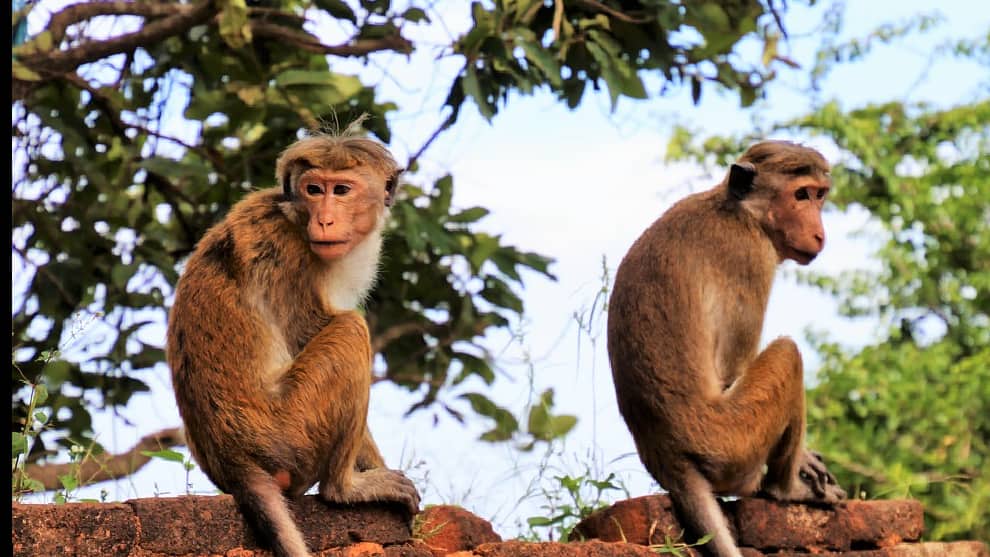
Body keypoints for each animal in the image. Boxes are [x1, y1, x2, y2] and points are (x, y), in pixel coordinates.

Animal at [166, 128, 420, 557]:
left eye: (341, 189)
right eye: (314, 189)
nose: (325, 219)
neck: (296, 218)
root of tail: (234, 464)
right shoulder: (291, 257)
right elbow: (310, 331)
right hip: (289, 433)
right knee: (351, 330)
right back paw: (344, 488)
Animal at [606, 140, 847, 557]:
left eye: (819, 195)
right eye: (800, 195)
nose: (819, 234)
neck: (741, 212)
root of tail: (669, 458)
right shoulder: (751, 258)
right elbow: (734, 369)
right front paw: (802, 461)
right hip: (734, 442)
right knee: (788, 354)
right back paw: (785, 489)